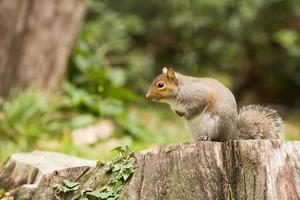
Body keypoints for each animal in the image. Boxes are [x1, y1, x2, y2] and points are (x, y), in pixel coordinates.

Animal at [145, 68, 284, 141]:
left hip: (217, 125)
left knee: (218, 138)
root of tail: (233, 134)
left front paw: (187, 116)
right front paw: (179, 114)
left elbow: (196, 109)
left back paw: (207, 138)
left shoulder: (198, 97)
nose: (147, 96)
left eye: (161, 85)